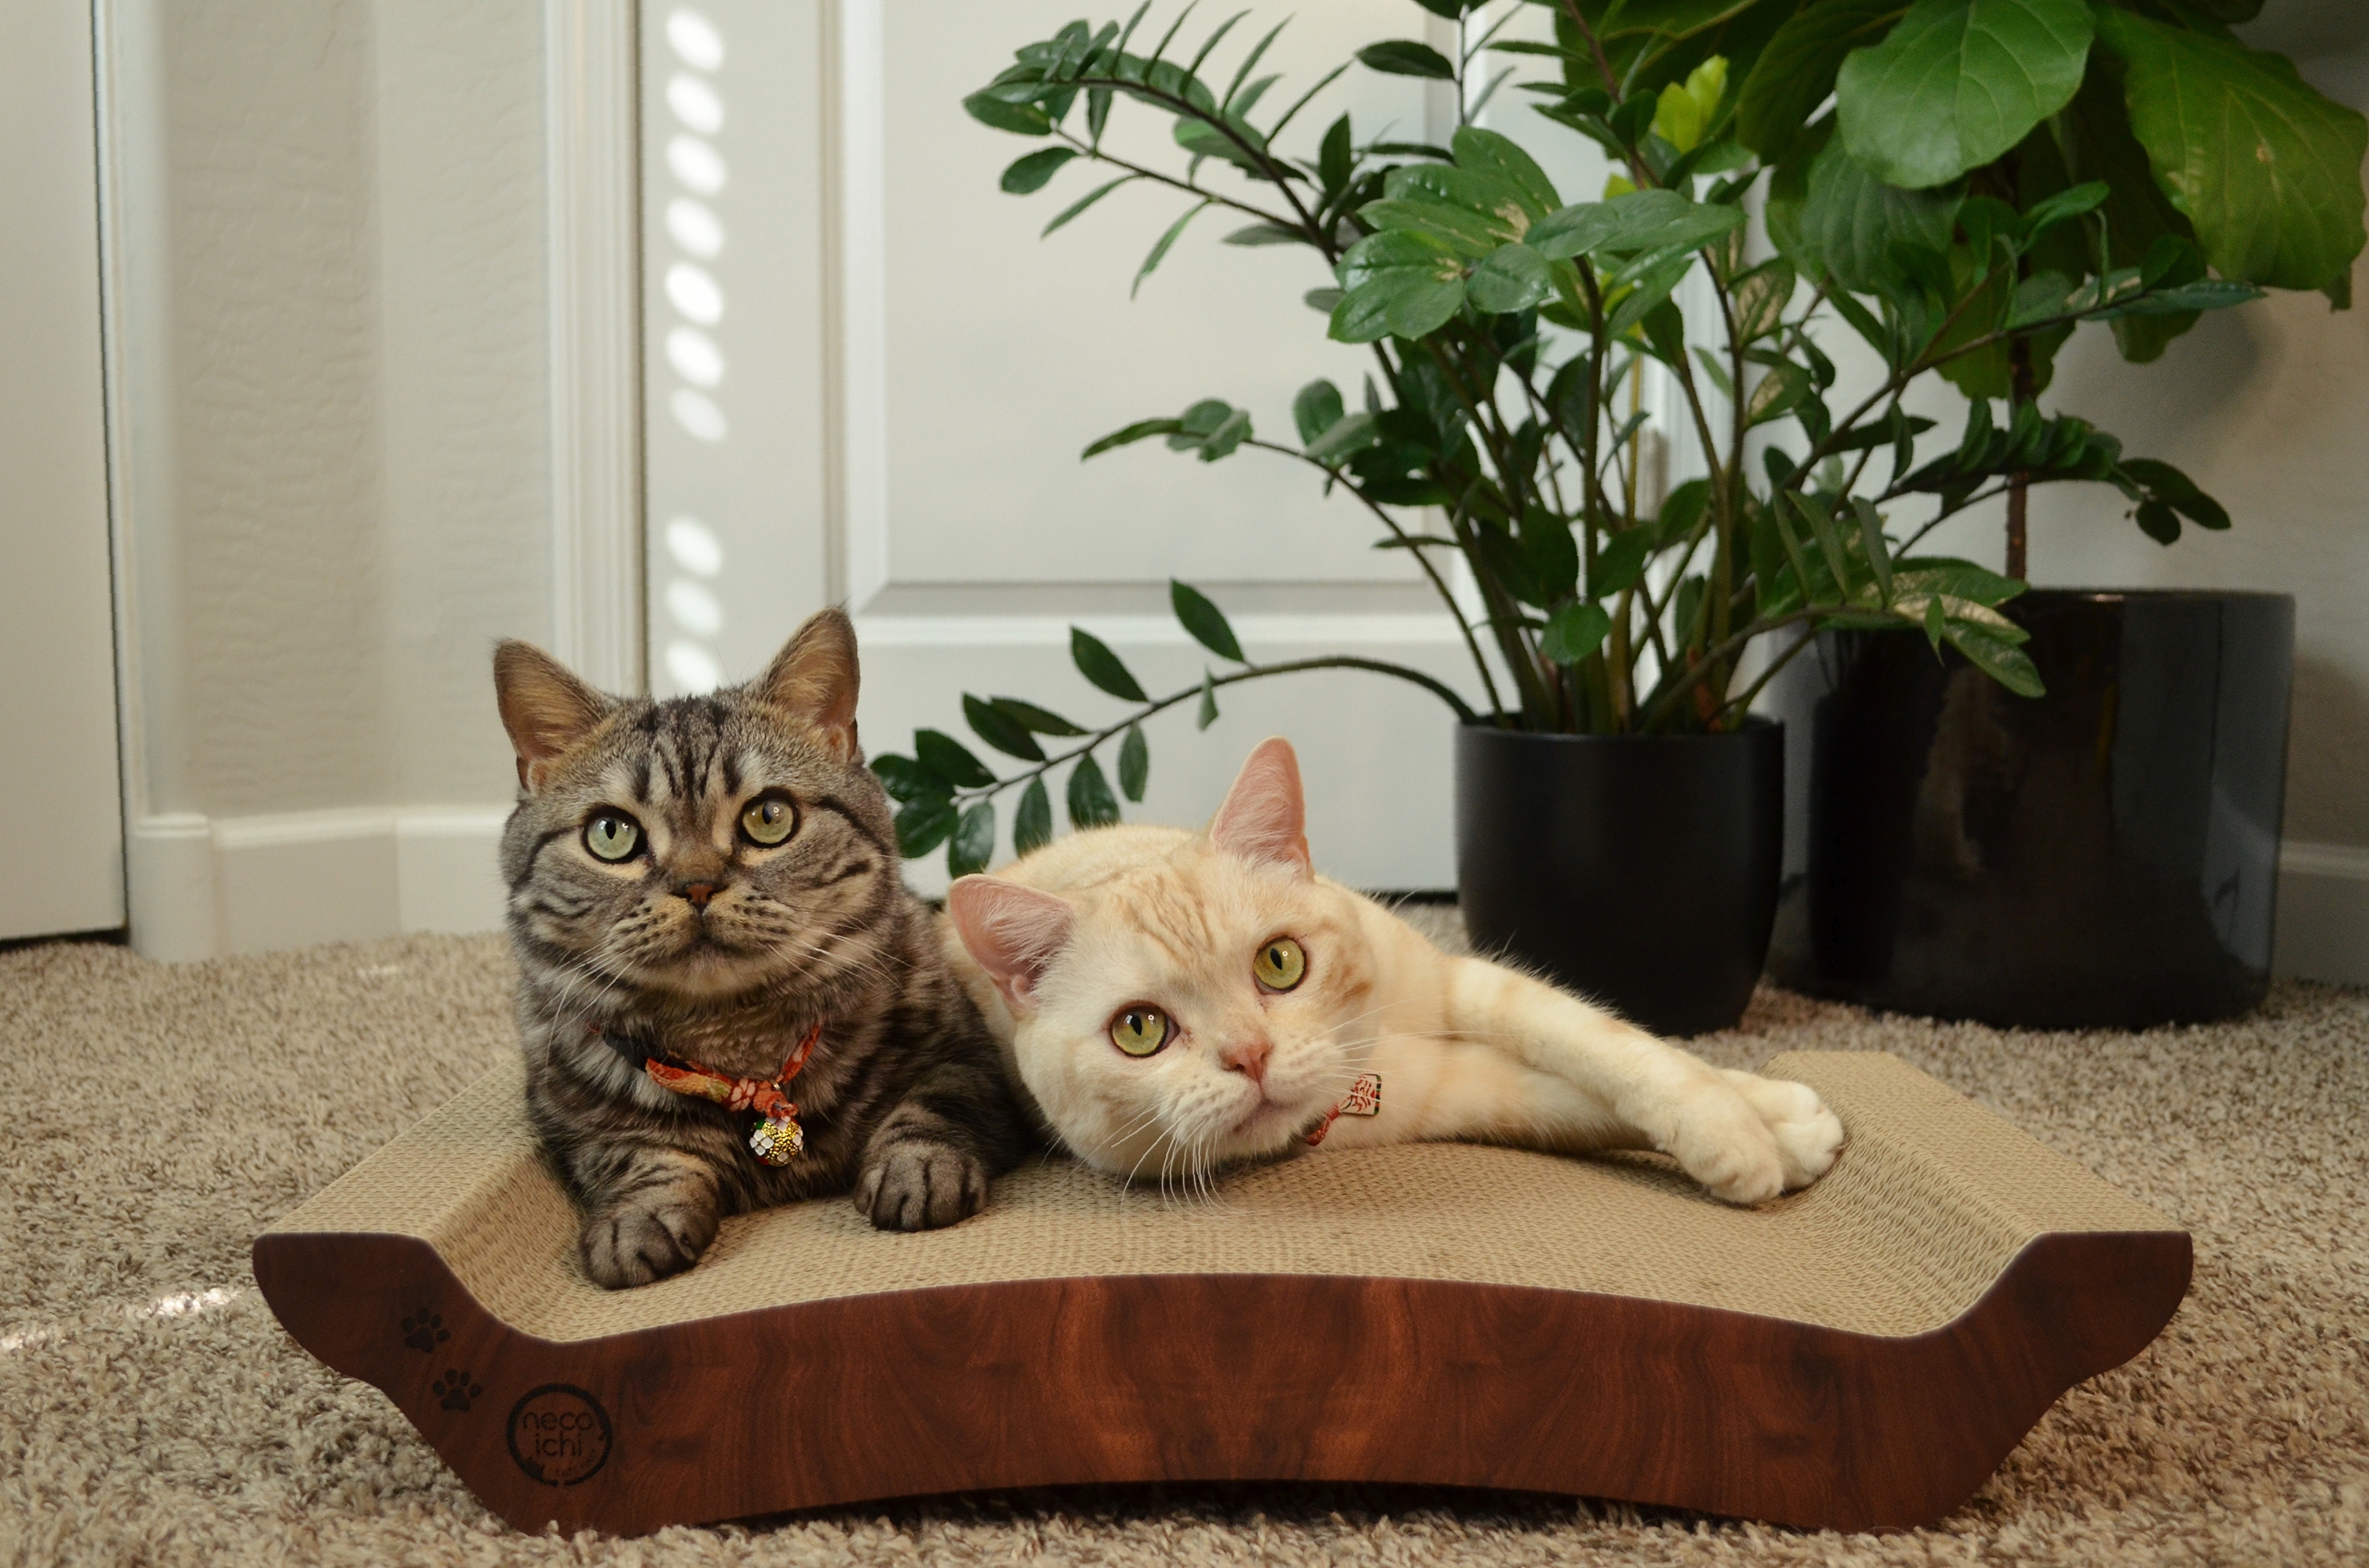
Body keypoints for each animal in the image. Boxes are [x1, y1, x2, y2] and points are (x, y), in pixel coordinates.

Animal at [495, 611, 1023, 1288]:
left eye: (768, 817)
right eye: (611, 833)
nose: (696, 884)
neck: (737, 1044)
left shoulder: (967, 1055)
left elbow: (931, 1106)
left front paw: (918, 1169)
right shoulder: (574, 1121)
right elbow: (638, 1154)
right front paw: (635, 1219)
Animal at [942, 739, 1847, 1203]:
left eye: (1279, 961)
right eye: (1140, 1029)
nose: (1251, 1055)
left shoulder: (1462, 983)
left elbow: (1616, 1045)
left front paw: (1754, 1115)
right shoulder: (1458, 1091)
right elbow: (1572, 1103)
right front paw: (1763, 1143)